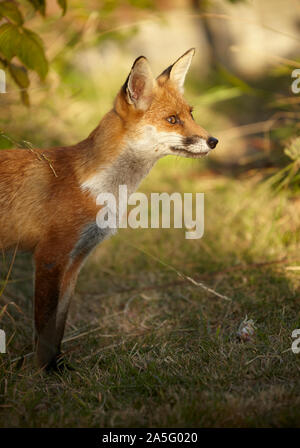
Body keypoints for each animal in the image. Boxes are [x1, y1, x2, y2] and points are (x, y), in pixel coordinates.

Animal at [0, 49, 218, 372]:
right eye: (172, 120)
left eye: (191, 114)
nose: (214, 141)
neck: (97, 186)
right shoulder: (50, 257)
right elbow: (45, 326)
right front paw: (43, 373)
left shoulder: (76, 260)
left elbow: (58, 326)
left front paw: (59, 367)